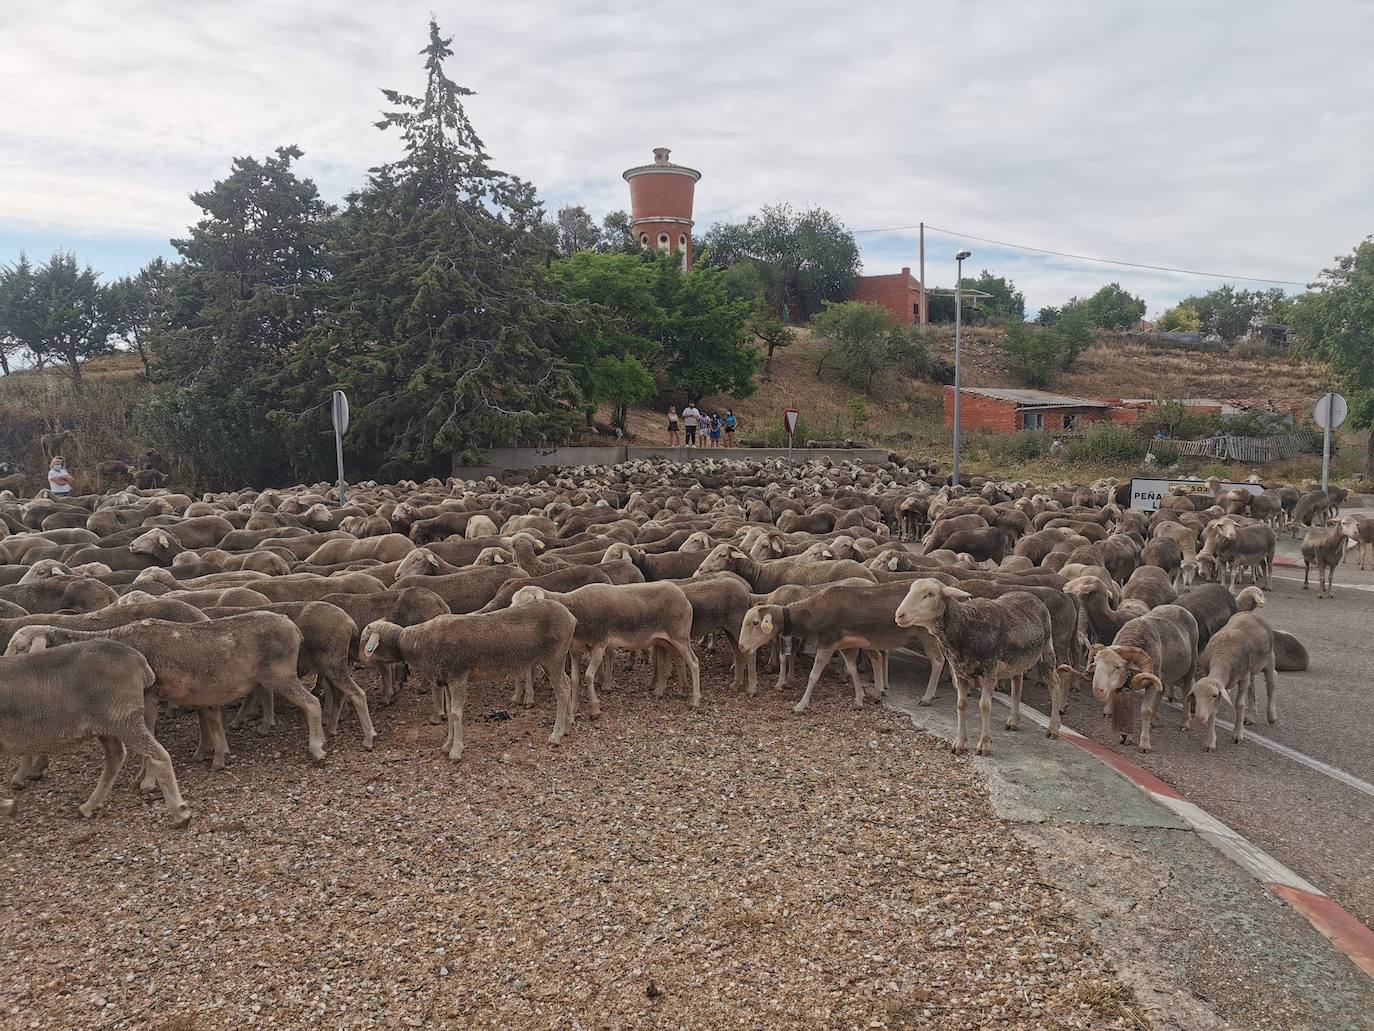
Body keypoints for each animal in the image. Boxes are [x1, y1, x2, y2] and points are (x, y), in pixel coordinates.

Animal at [0, 643, 193, 830]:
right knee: (116, 757)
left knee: (157, 755)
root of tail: (139, 662)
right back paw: (89, 806)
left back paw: (180, 813)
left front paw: (9, 806)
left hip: (124, 718)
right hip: (107, 726)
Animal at [357, 602, 577, 764]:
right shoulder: (447, 680)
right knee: (567, 684)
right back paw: (567, 725)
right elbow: (448, 710)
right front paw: (448, 745)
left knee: (563, 690)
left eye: (365, 639)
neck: (418, 643)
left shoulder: (458, 676)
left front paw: (456, 751)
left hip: (554, 657)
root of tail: (570, 616)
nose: (357, 660)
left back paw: (556, 735)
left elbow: (455, 713)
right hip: (555, 659)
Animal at [890, 582, 1060, 758]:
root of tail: (1029, 594)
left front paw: (984, 745)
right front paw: (959, 744)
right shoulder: (960, 672)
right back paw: (1013, 720)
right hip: (1017, 659)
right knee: (1017, 681)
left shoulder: (990, 671)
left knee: (1054, 683)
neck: (966, 627)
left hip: (1047, 649)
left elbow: (984, 706)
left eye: (930, 594)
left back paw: (1053, 728)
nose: (899, 615)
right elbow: (961, 705)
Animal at [1187, 613, 1280, 753]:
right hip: (1251, 669)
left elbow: (1240, 705)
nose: (1200, 718)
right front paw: (1210, 743)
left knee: (1271, 685)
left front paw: (1238, 734)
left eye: (1213, 695)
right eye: (1196, 695)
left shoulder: (1243, 678)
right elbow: (1213, 712)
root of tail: (1251, 614)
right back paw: (1251, 717)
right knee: (1252, 688)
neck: (1222, 656)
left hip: (1269, 659)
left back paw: (1271, 716)